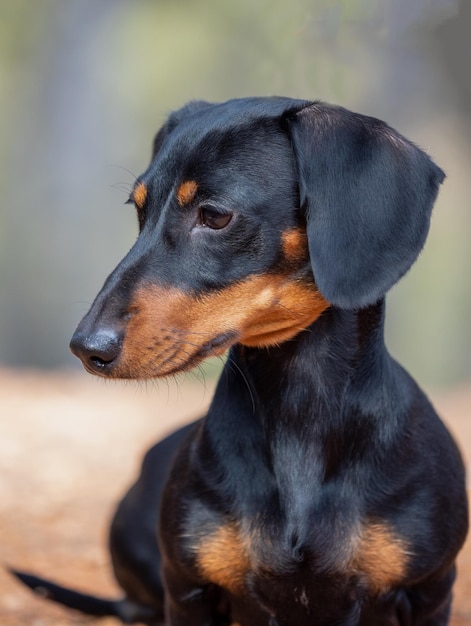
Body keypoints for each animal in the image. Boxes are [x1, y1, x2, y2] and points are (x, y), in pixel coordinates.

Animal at [12, 97, 470, 624]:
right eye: (140, 210)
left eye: (214, 216)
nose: (87, 347)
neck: (299, 418)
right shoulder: (188, 588)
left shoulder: (429, 590)